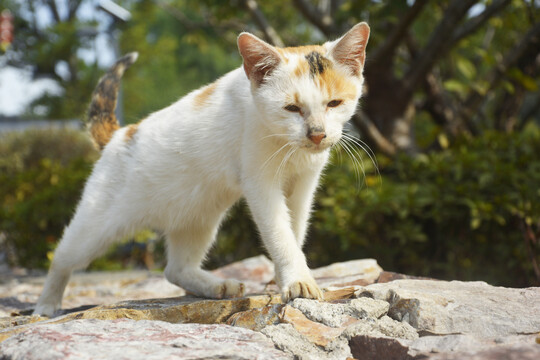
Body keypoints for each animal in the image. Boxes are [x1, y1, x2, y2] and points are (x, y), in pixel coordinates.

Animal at [34, 21, 372, 316]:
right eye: (291, 108)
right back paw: (46, 305)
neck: (288, 148)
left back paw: (216, 286)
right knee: (62, 257)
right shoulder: (260, 184)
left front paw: (286, 278)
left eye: (334, 103)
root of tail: (119, 135)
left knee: (175, 269)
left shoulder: (303, 185)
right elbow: (280, 233)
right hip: (97, 223)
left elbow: (295, 230)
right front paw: (298, 281)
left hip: (198, 217)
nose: (316, 134)